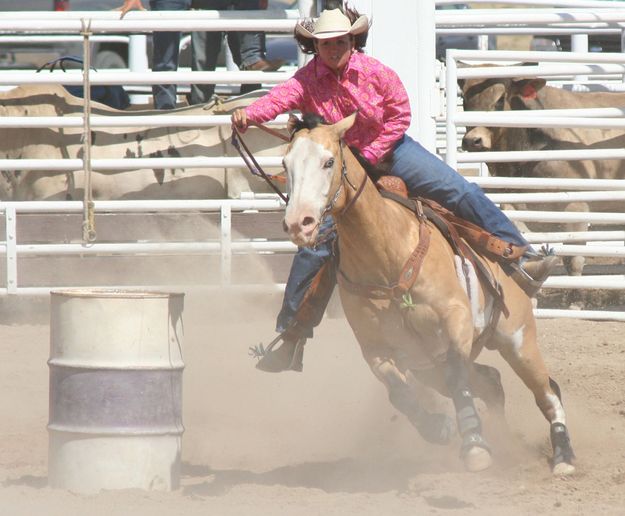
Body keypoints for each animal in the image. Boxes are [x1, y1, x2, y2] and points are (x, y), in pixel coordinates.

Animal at [282, 113, 576, 476]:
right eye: (285, 163)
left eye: (329, 161)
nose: (300, 223)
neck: (387, 256)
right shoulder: (376, 349)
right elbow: (399, 394)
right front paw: (439, 428)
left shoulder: (455, 319)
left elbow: (457, 375)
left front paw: (474, 445)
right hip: (428, 366)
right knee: (492, 382)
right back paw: (507, 443)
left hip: (519, 342)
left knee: (547, 392)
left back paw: (563, 456)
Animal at [458, 75, 624, 278]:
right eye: (464, 99)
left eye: (500, 99)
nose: (472, 140)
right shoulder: (513, 202)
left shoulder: (577, 207)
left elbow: (574, 261)